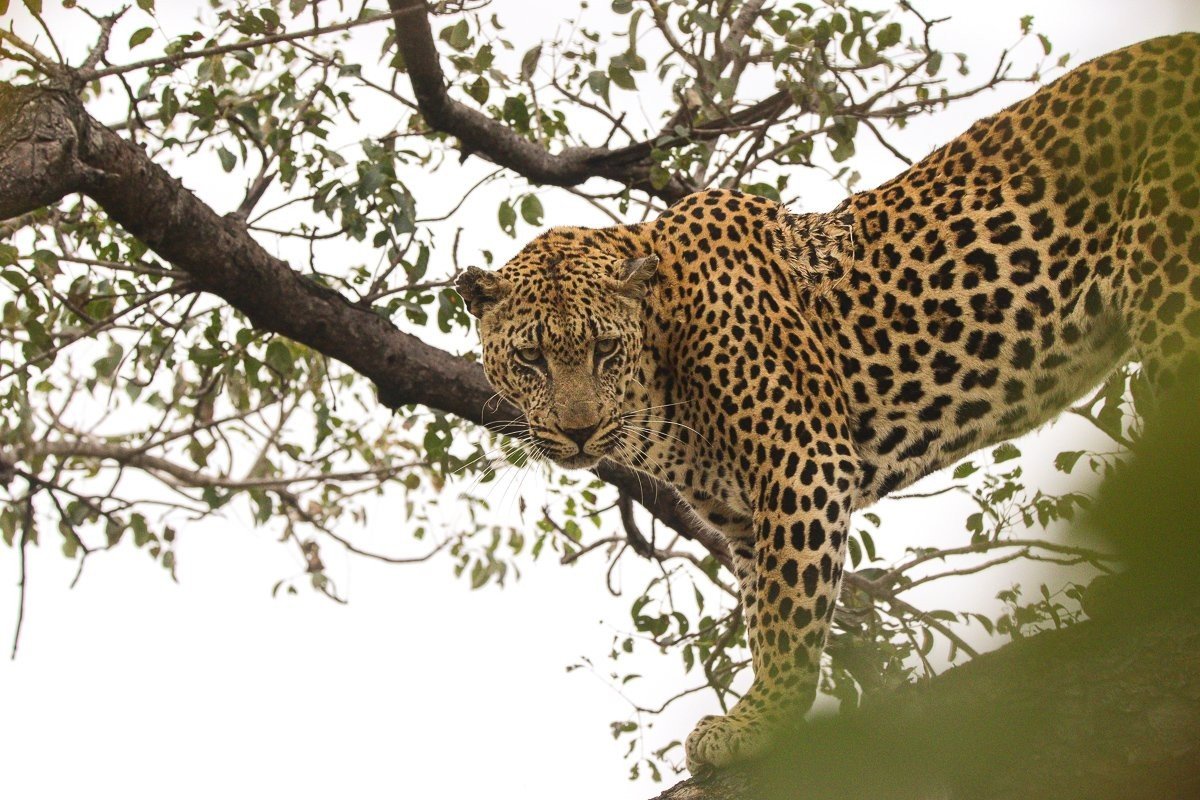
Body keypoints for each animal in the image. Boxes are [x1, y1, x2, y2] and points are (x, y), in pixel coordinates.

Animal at [456, 33, 1200, 773]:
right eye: (532, 358)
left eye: (606, 350)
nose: (578, 432)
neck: (660, 382)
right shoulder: (742, 517)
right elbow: (764, 612)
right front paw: (766, 716)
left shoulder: (802, 463)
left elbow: (790, 615)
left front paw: (759, 720)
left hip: (1173, 300)